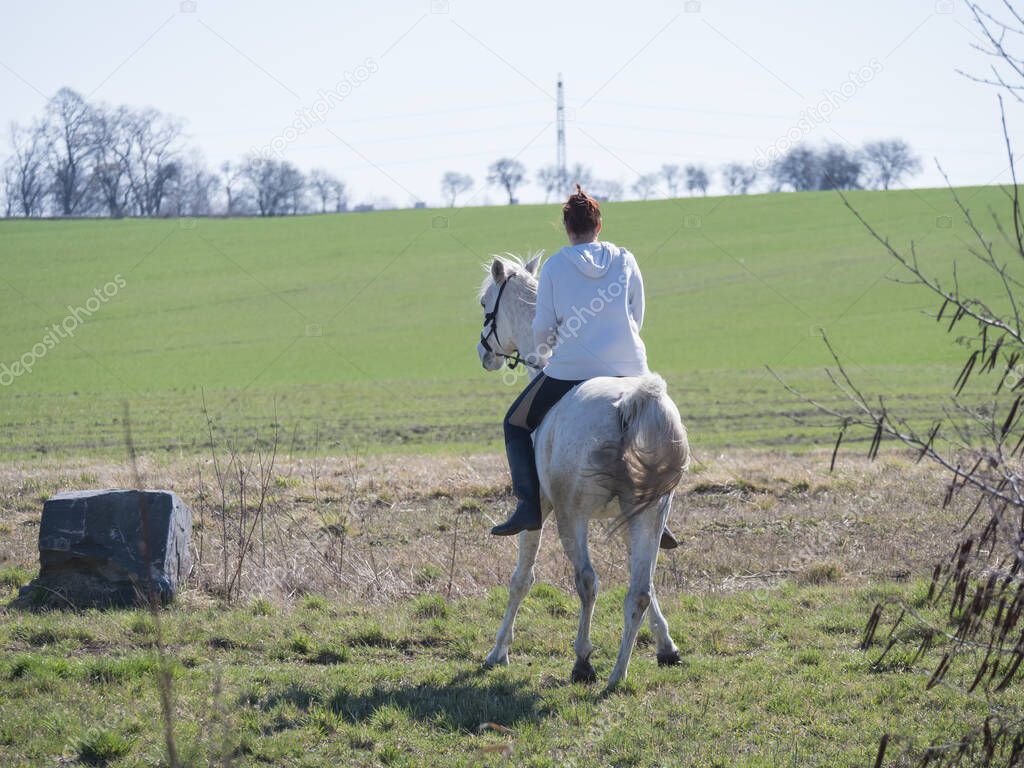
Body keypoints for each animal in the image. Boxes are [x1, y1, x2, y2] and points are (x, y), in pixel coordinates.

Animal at [477, 252, 688, 692]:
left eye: (486, 303)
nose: (482, 352)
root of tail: (635, 401)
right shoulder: (631, 518)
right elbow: (647, 584)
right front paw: (666, 646)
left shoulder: (539, 507)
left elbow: (521, 578)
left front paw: (498, 651)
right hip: (650, 513)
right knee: (639, 590)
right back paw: (617, 675)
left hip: (571, 516)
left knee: (588, 582)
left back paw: (584, 662)